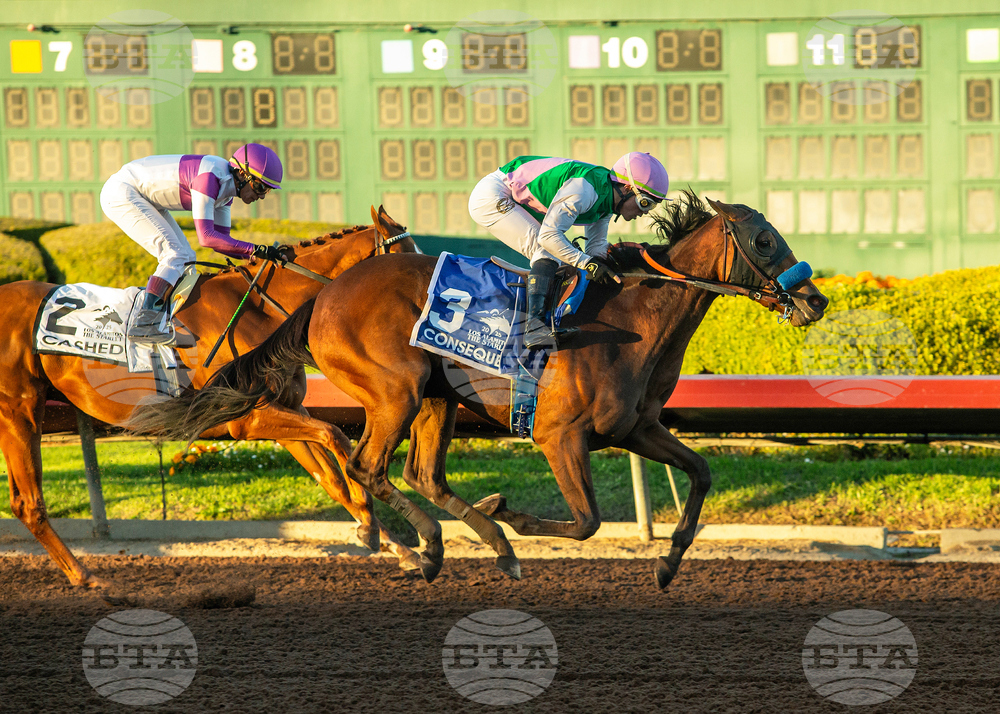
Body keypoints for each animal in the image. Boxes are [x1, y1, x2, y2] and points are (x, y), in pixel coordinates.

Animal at [0, 206, 420, 588]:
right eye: (407, 263)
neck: (261, 310)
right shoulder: (246, 419)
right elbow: (336, 437)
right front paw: (375, 527)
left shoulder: (285, 409)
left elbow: (330, 476)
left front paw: (398, 546)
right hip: (19, 410)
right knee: (28, 502)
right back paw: (89, 579)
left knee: (24, 501)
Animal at [128, 195, 829, 588]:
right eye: (764, 239)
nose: (816, 300)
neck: (633, 316)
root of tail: (324, 297)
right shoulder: (559, 437)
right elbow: (586, 522)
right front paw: (511, 514)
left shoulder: (635, 428)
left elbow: (703, 472)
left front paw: (666, 563)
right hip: (397, 390)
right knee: (368, 465)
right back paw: (435, 550)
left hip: (436, 397)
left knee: (419, 473)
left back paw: (481, 545)